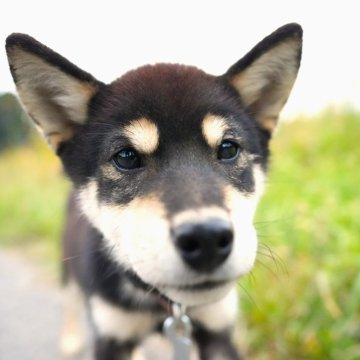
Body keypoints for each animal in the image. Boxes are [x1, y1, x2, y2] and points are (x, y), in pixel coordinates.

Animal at [7, 23, 302, 360]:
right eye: (126, 157)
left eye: (228, 148)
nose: (207, 238)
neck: (166, 305)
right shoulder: (112, 334)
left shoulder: (217, 330)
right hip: (68, 264)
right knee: (68, 298)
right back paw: (70, 339)